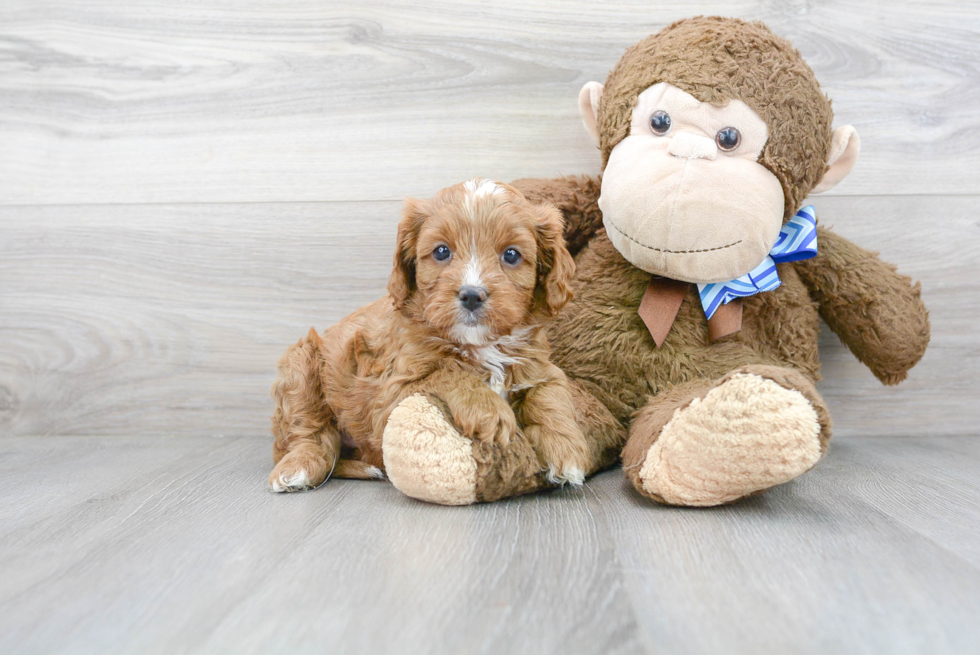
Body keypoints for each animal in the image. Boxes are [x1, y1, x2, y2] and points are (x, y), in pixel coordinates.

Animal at [266, 178, 588, 492]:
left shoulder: (539, 366)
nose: (472, 295)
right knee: (310, 433)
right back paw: (299, 469)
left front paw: (565, 450)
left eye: (511, 255)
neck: (480, 344)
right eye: (442, 251)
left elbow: (550, 395)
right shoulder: (390, 395)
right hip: (300, 364)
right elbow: (447, 373)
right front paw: (491, 413)